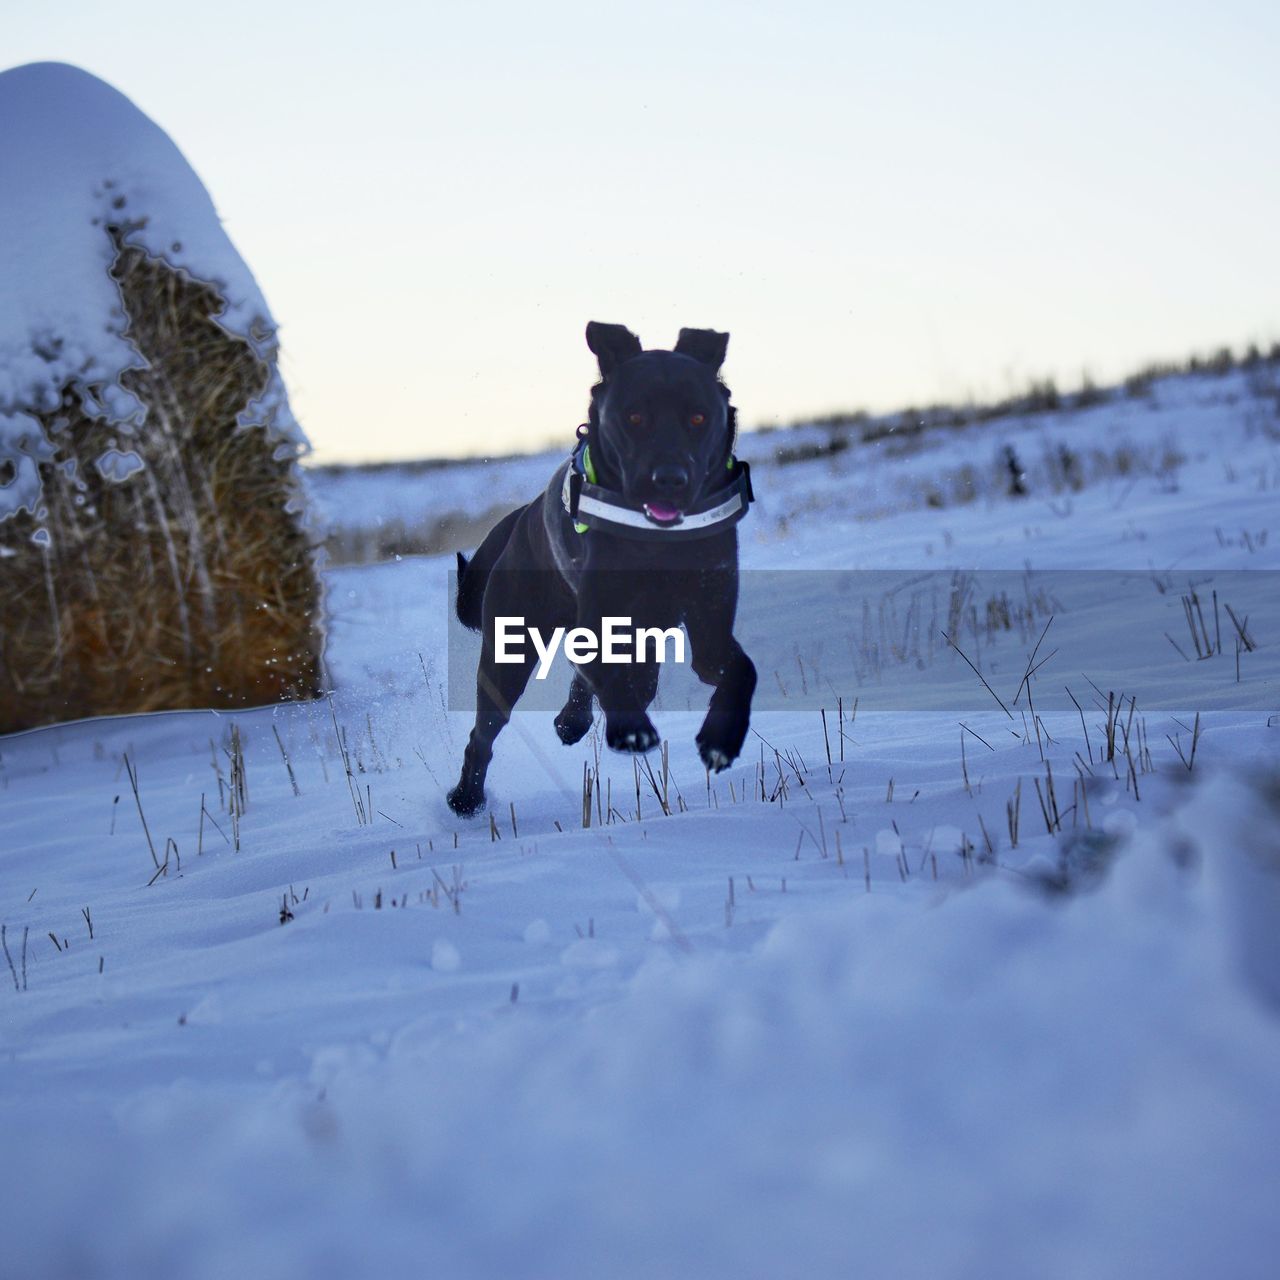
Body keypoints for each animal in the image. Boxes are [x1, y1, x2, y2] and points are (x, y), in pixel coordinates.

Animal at [445, 325, 752, 814]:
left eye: (698, 418)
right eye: (634, 417)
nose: (669, 479)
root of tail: (520, 518)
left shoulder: (708, 620)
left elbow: (738, 671)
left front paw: (721, 741)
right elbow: (613, 680)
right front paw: (628, 729)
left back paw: (572, 722)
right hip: (507, 650)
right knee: (485, 731)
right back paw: (466, 796)